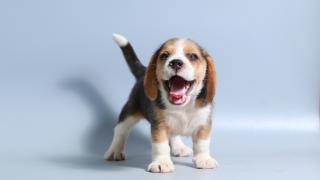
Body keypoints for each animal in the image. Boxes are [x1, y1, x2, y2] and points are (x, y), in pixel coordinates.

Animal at [104, 33, 218, 173]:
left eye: (192, 56)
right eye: (164, 56)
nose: (176, 62)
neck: (183, 107)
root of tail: (143, 72)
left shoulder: (204, 122)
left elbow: (202, 143)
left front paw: (204, 159)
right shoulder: (159, 125)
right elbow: (161, 145)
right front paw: (161, 162)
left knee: (173, 134)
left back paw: (179, 147)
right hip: (129, 111)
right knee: (120, 130)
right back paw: (114, 151)